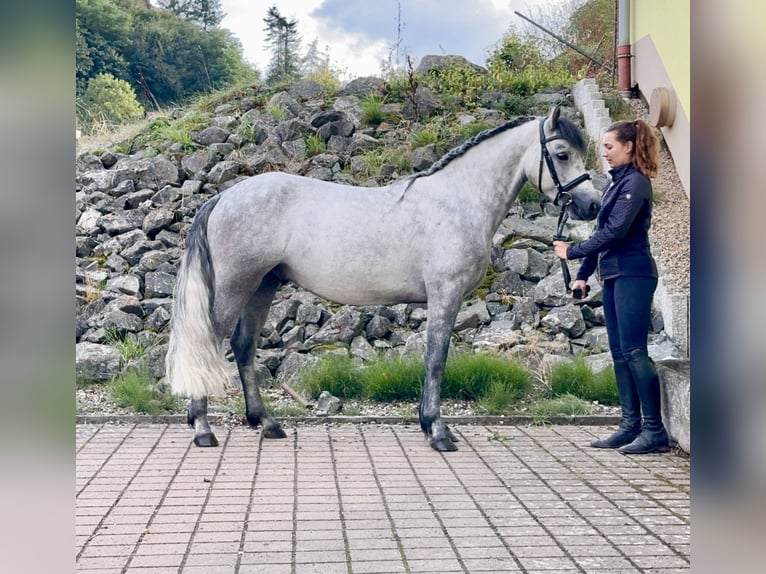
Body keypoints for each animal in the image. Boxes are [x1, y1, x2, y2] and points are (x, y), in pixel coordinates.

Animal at [166, 106, 600, 452]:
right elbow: (436, 358)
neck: (457, 201)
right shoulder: (445, 295)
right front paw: (437, 431)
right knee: (209, 342)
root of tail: (224, 197)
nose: (592, 205)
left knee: (243, 345)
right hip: (236, 286)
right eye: (562, 154)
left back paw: (267, 423)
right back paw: (202, 428)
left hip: (263, 284)